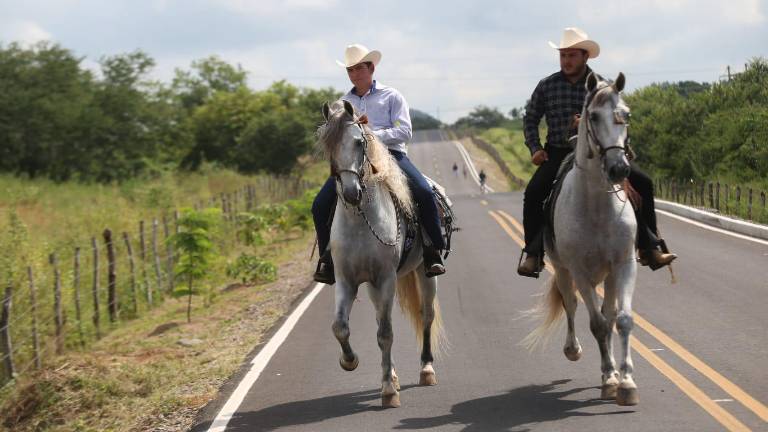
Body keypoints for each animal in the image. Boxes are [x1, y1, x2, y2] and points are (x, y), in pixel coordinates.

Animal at [317, 99, 445, 408]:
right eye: (328, 145)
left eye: (359, 142)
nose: (351, 192)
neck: (360, 220)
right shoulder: (347, 281)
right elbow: (340, 326)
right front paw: (349, 360)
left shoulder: (386, 278)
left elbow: (386, 334)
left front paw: (388, 391)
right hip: (374, 287)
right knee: (379, 319)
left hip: (424, 274)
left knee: (426, 316)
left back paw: (426, 370)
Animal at [523, 72, 640, 406]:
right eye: (594, 116)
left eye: (626, 115)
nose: (618, 168)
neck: (598, 205)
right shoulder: (579, 270)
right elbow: (597, 324)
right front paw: (611, 379)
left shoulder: (624, 264)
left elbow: (622, 320)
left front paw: (626, 382)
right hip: (563, 271)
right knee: (572, 304)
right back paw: (573, 350)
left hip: (609, 274)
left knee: (610, 314)